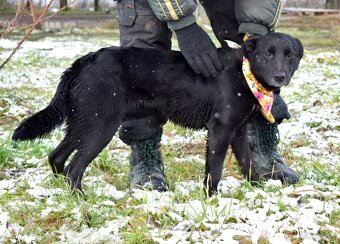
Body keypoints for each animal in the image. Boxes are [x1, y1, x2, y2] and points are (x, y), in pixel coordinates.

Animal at [11, 32, 302, 196]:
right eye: (267, 54)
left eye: (290, 55)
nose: (281, 77)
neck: (244, 71)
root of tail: (84, 61)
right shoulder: (219, 129)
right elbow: (215, 170)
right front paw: (211, 200)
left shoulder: (238, 130)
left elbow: (247, 162)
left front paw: (258, 189)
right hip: (100, 126)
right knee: (74, 167)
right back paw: (81, 200)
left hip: (84, 122)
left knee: (56, 156)